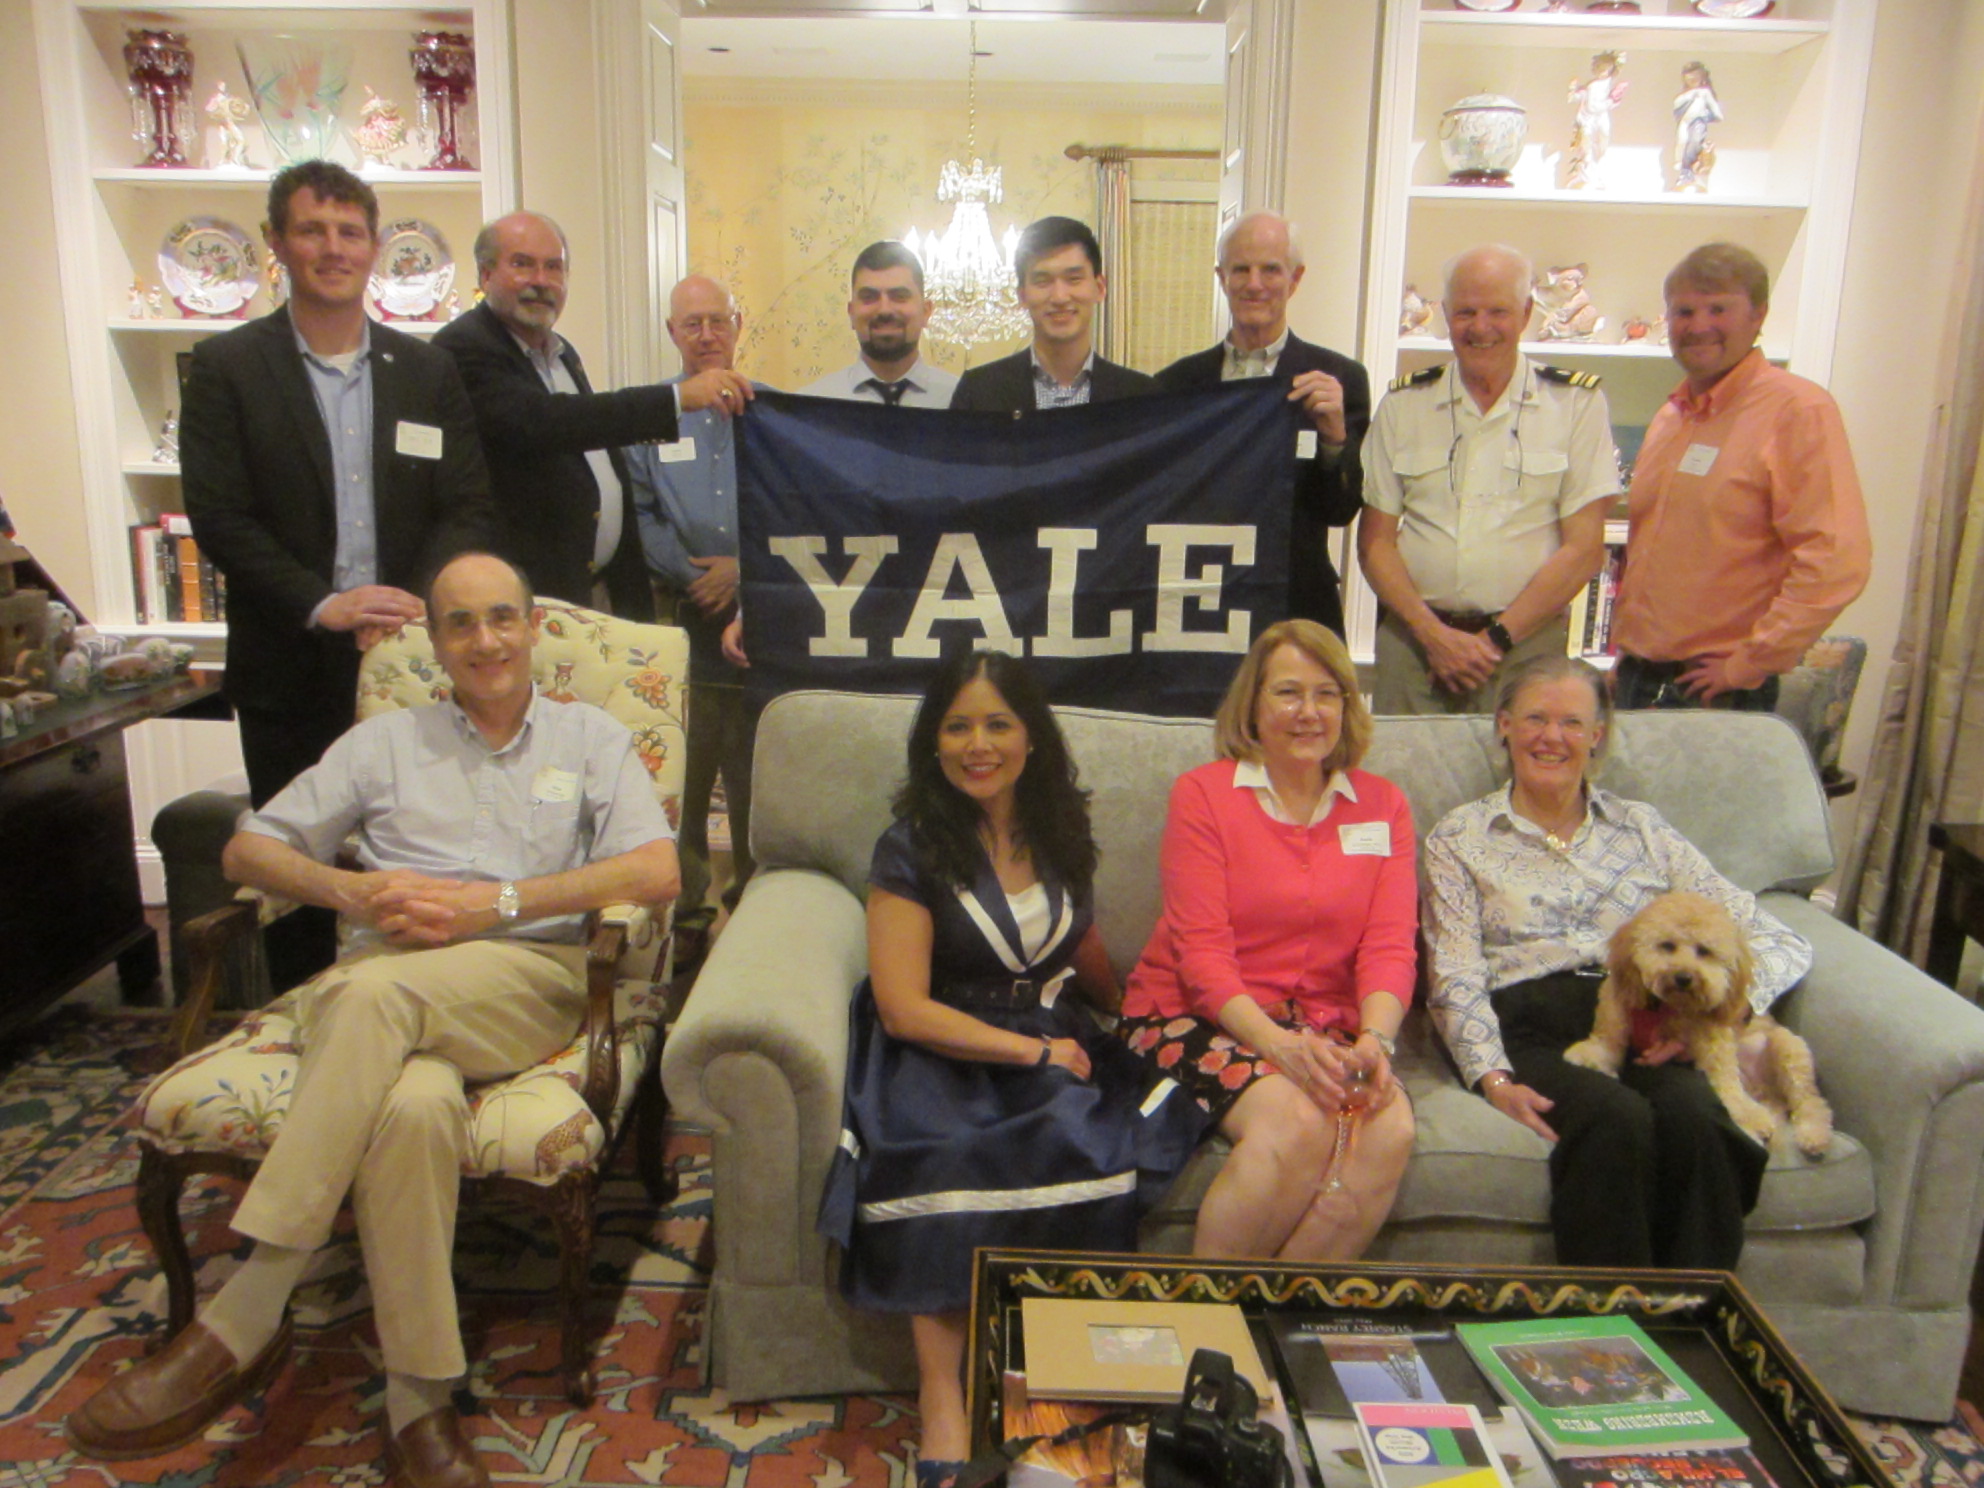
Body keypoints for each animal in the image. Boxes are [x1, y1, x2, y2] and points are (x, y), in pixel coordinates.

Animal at [1563, 892, 1825, 1158]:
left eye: (1704, 951)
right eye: (1667, 945)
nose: (1684, 977)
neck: (1669, 1006)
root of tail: (1764, 1089)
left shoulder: (1716, 1045)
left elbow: (1728, 1086)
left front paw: (1750, 1116)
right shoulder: (1616, 1004)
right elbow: (1608, 1035)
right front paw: (1592, 1055)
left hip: (1788, 1049)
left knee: (1810, 1102)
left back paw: (1812, 1136)